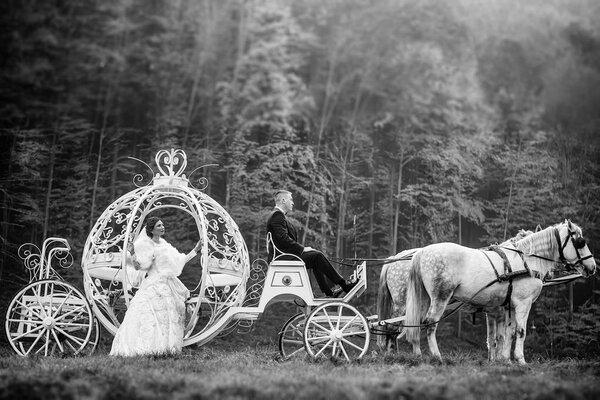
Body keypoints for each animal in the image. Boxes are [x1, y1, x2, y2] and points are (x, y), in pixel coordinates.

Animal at [404, 220, 596, 364]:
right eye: (580, 242)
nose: (592, 267)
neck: (527, 261)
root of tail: (422, 251)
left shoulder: (508, 306)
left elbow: (507, 333)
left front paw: (505, 360)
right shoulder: (523, 303)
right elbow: (520, 331)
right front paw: (520, 360)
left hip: (424, 298)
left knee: (417, 322)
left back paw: (417, 355)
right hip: (441, 297)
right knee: (430, 323)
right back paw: (437, 356)